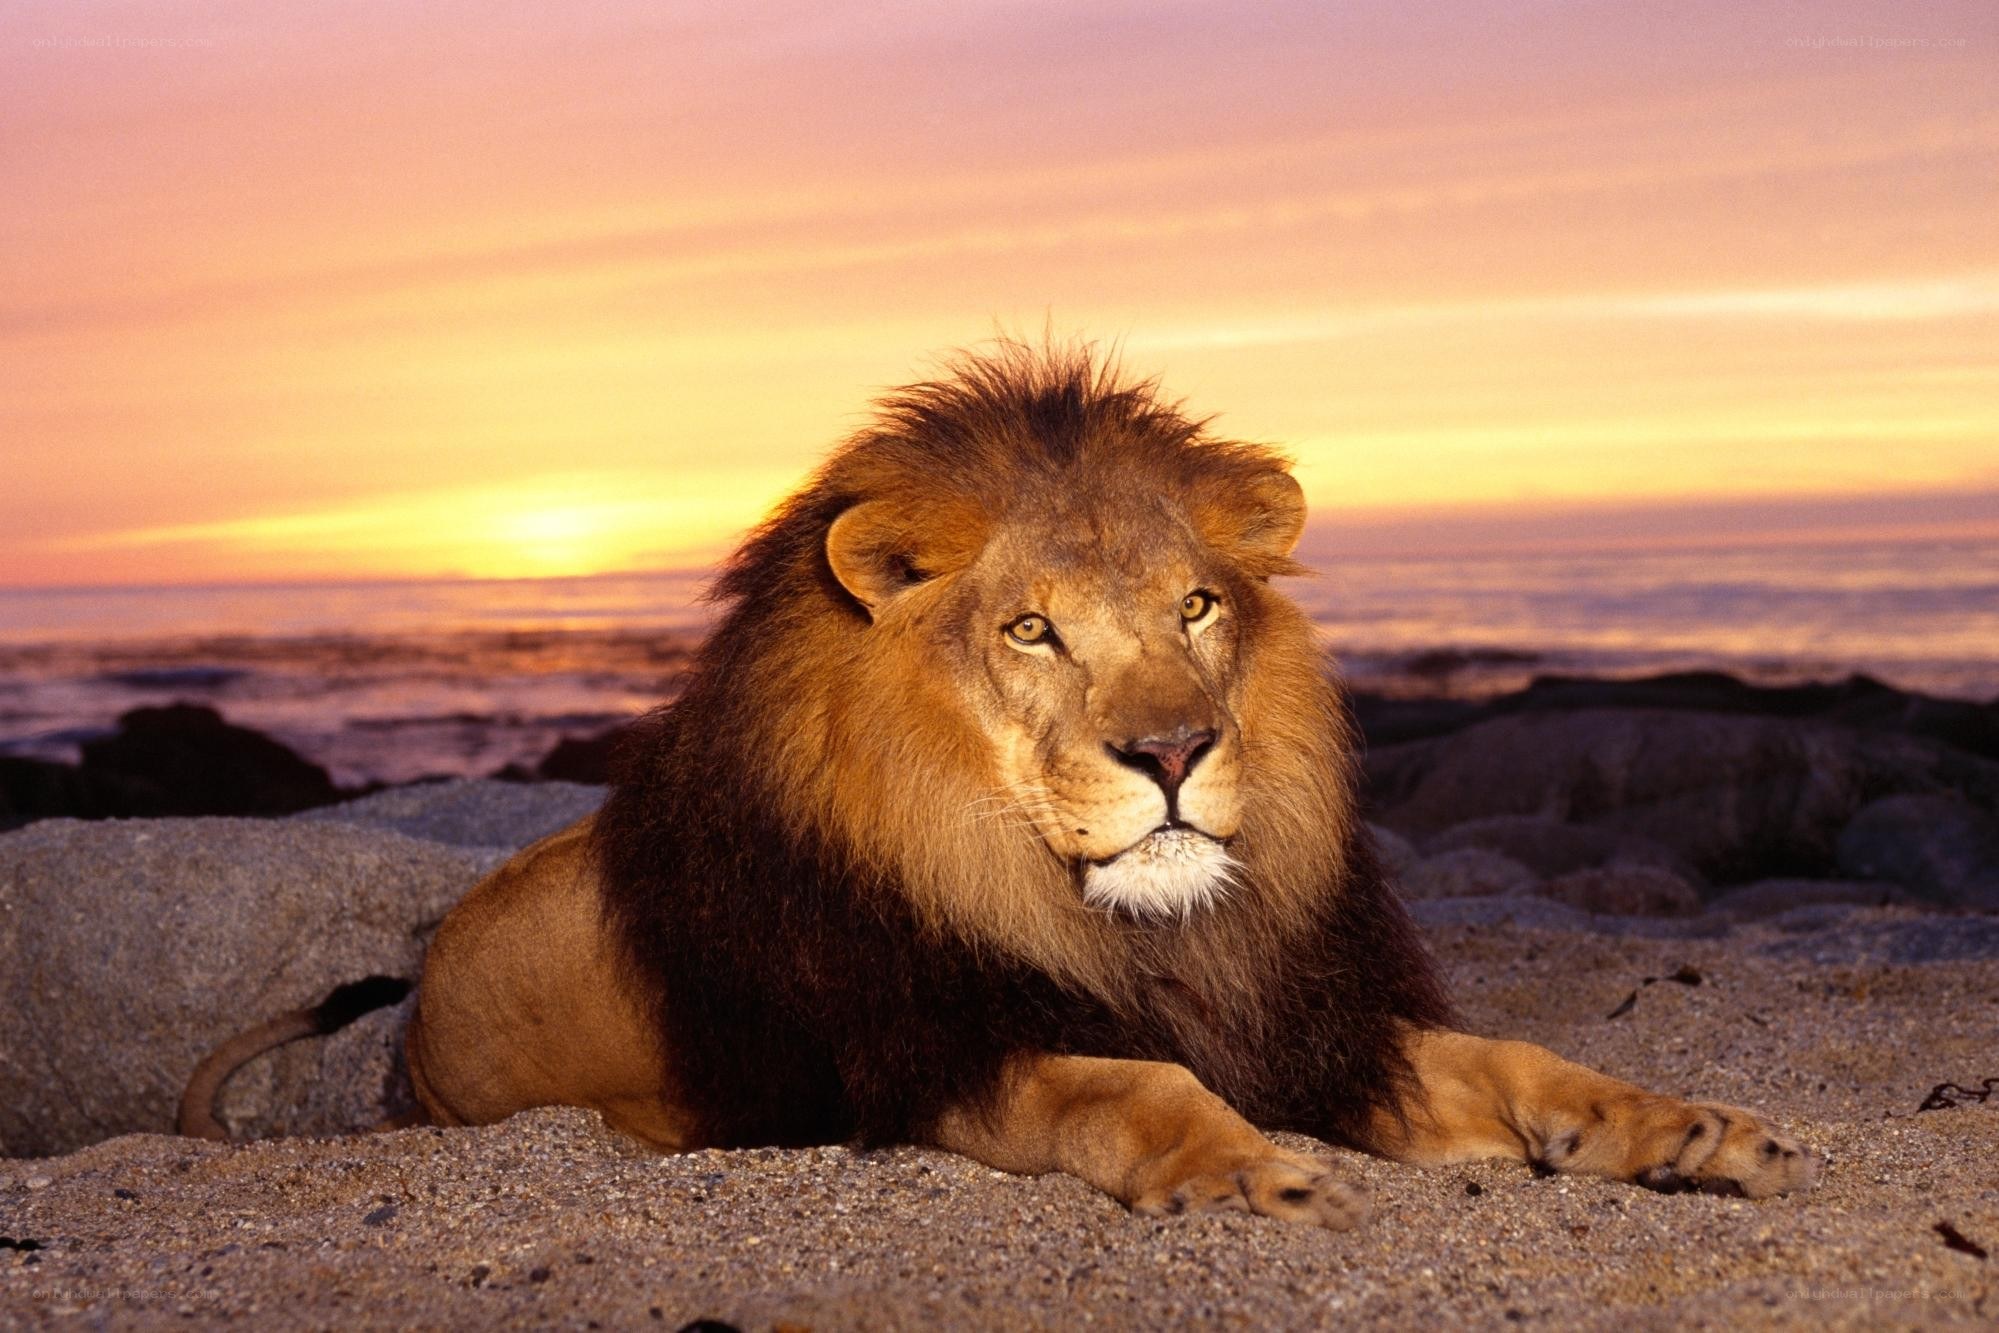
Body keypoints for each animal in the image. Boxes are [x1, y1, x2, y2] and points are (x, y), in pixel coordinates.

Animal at [182, 343, 1819, 1225]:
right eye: (1032, 629)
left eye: (1196, 609)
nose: (1171, 753)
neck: (1126, 927)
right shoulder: (928, 1054)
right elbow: (1126, 1081)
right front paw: (1253, 1174)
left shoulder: (1306, 1018)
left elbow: (1523, 1062)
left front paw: (1686, 1128)